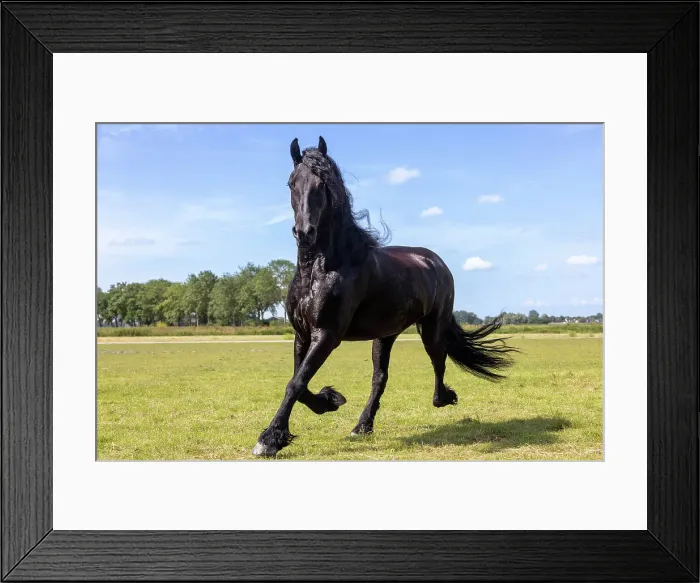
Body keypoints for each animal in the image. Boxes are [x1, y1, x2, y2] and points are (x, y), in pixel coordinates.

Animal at [252, 136, 519, 457]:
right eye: (292, 183)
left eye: (322, 184)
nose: (305, 232)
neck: (322, 268)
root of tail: (437, 262)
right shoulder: (302, 334)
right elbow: (299, 383)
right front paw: (330, 401)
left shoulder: (326, 334)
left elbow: (296, 383)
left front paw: (268, 440)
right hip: (385, 335)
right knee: (380, 377)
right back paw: (362, 426)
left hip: (431, 328)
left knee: (439, 360)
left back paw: (445, 398)